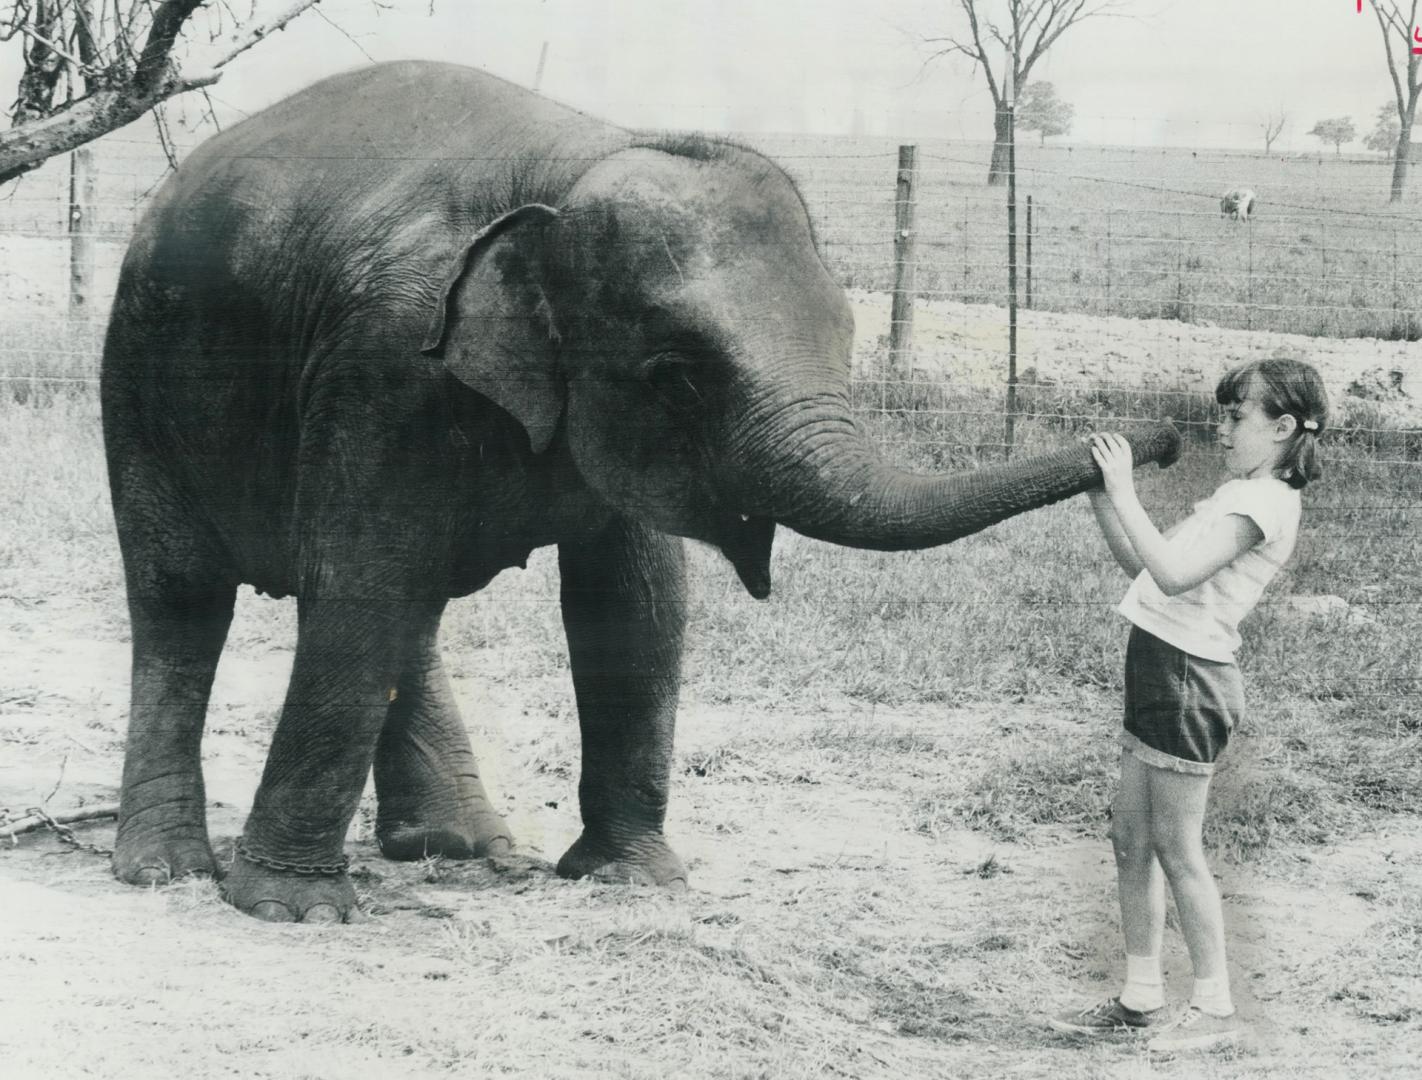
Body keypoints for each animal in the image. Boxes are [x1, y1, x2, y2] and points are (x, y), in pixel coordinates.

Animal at [103, 59, 1177, 922]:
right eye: (677, 374)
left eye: (845, 331)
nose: (1155, 445)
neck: (572, 165)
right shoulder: (385, 361)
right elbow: (361, 582)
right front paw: (290, 911)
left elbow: (634, 603)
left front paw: (632, 880)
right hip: (136, 379)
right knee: (188, 598)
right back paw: (164, 871)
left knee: (405, 609)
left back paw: (460, 847)